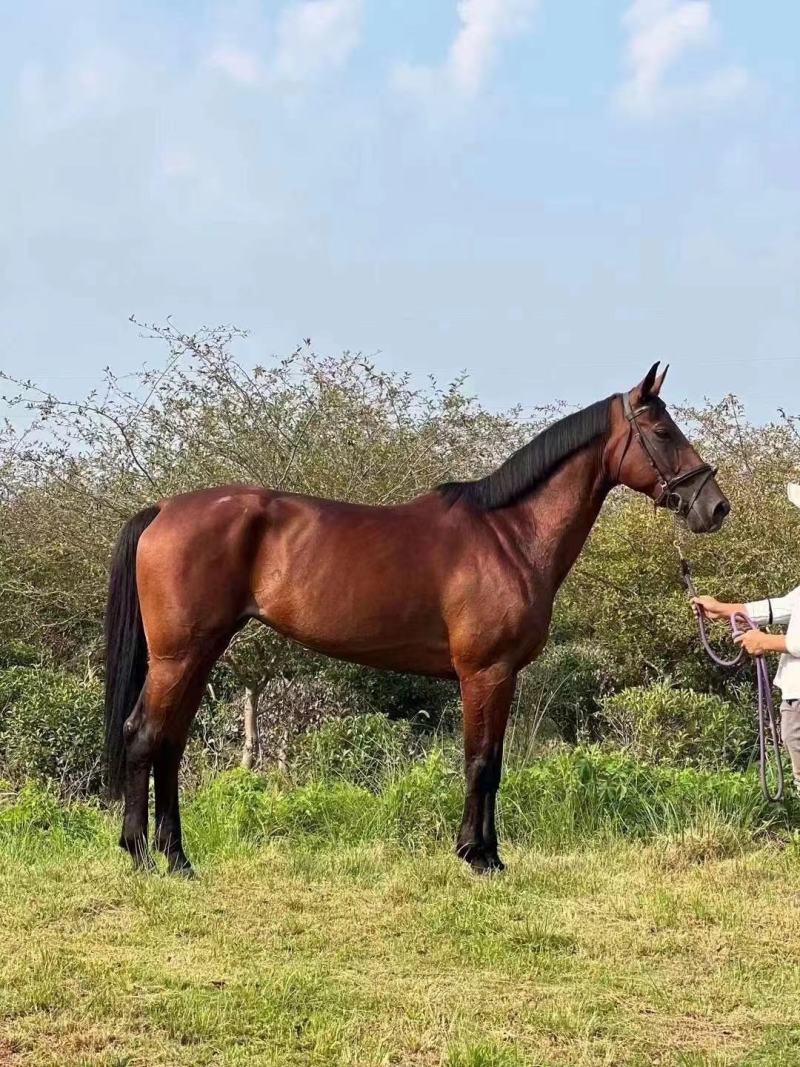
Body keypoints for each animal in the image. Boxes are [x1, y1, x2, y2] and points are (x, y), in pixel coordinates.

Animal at [104, 362, 729, 875]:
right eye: (663, 432)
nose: (715, 507)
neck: (509, 536)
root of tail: (163, 509)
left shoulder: (497, 676)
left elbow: (491, 762)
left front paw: (484, 851)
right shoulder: (487, 673)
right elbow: (481, 762)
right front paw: (479, 857)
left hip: (199, 654)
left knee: (170, 744)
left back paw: (178, 858)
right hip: (179, 656)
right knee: (144, 736)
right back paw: (141, 855)